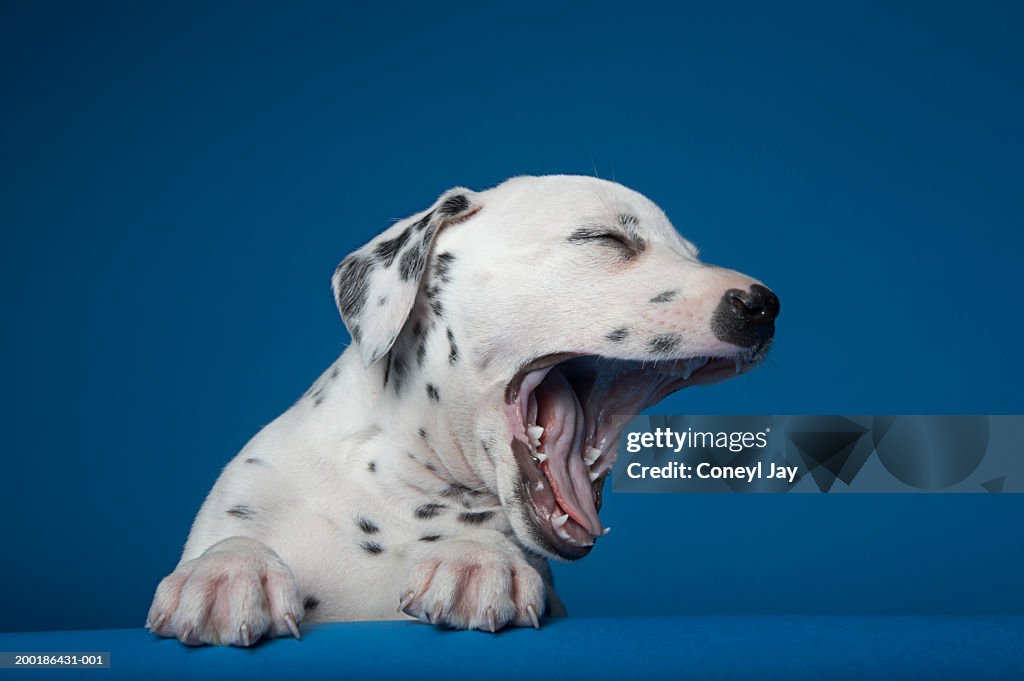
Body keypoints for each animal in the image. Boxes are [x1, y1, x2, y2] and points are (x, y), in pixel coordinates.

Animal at [148, 174, 778, 643]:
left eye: (689, 254)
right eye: (605, 239)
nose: (764, 306)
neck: (400, 491)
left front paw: (478, 559)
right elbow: (233, 538)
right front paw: (226, 570)